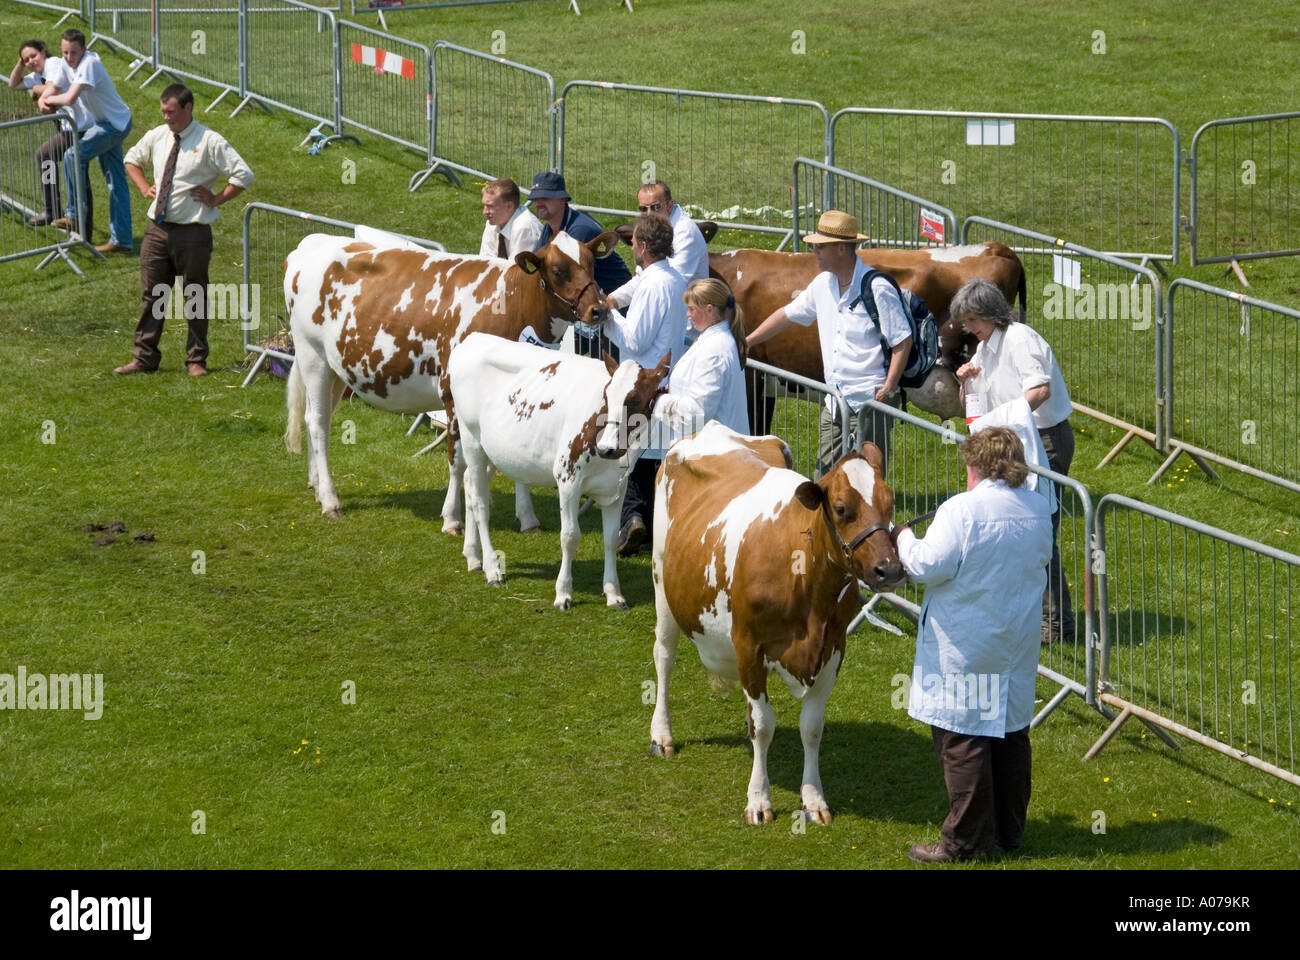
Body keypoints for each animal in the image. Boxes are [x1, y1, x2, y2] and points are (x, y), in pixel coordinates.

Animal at [280, 231, 613, 528]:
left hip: (336, 367)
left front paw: (526, 517)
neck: (512, 302)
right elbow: (458, 459)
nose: (600, 309)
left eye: (592, 264)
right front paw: (453, 517)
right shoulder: (452, 393)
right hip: (312, 355)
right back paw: (330, 500)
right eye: (558, 271)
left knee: (315, 417)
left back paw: (315, 484)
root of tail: (311, 242)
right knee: (318, 424)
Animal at [447, 333, 670, 608]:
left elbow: (609, 539)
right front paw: (563, 593)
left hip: (494, 452)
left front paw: (613, 594)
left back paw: (472, 556)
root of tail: (474, 337)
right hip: (471, 439)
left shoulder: (616, 487)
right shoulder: (568, 478)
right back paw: (491, 568)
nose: (607, 448)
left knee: (469, 484)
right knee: (479, 503)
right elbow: (570, 536)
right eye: (606, 397)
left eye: (636, 399)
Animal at [650, 421, 904, 822]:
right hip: (662, 583)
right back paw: (662, 734)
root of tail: (710, 429)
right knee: (664, 657)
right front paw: (759, 799)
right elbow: (765, 725)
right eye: (841, 508)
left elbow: (811, 727)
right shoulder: (749, 646)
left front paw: (813, 799)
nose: (889, 570)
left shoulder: (834, 649)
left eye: (889, 502)